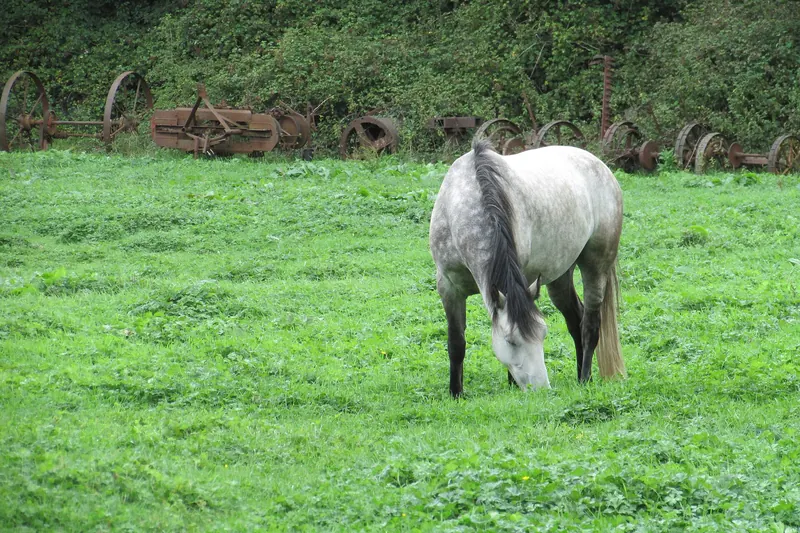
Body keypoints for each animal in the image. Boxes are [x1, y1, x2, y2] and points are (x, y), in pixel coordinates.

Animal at [429, 138, 625, 397]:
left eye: (543, 335)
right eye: (511, 341)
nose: (541, 389)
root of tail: (602, 167)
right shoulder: (448, 287)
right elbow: (456, 343)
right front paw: (456, 393)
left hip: (596, 265)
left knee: (590, 326)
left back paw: (584, 379)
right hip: (560, 276)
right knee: (577, 320)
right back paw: (582, 378)